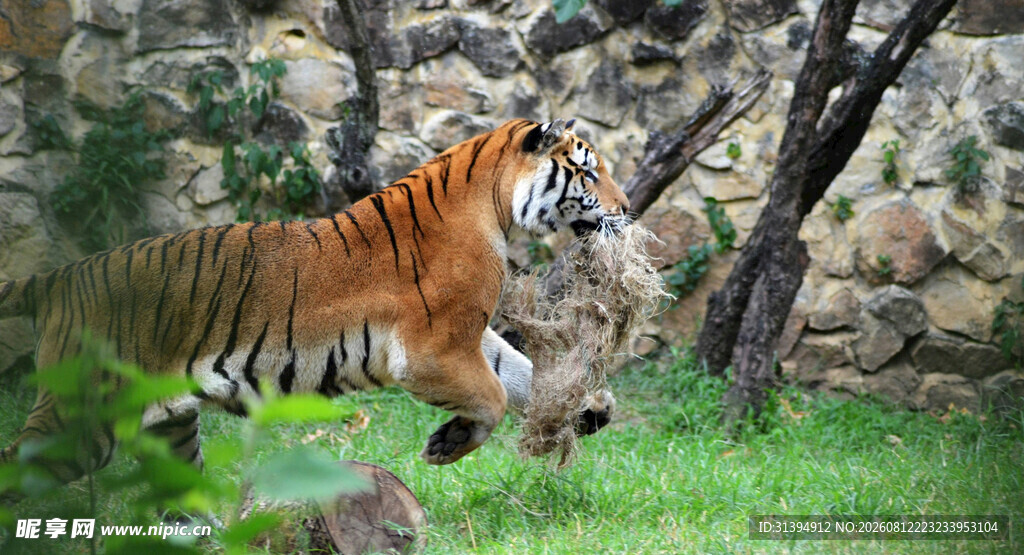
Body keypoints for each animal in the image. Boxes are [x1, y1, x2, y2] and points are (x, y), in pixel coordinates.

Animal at [0, 117, 630, 489]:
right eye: (588, 171)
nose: (629, 208)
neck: (495, 205)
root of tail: (61, 277)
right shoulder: (433, 350)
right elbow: (495, 398)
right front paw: (445, 447)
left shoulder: (467, 339)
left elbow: (518, 373)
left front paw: (591, 405)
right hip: (79, 415)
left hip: (169, 427)